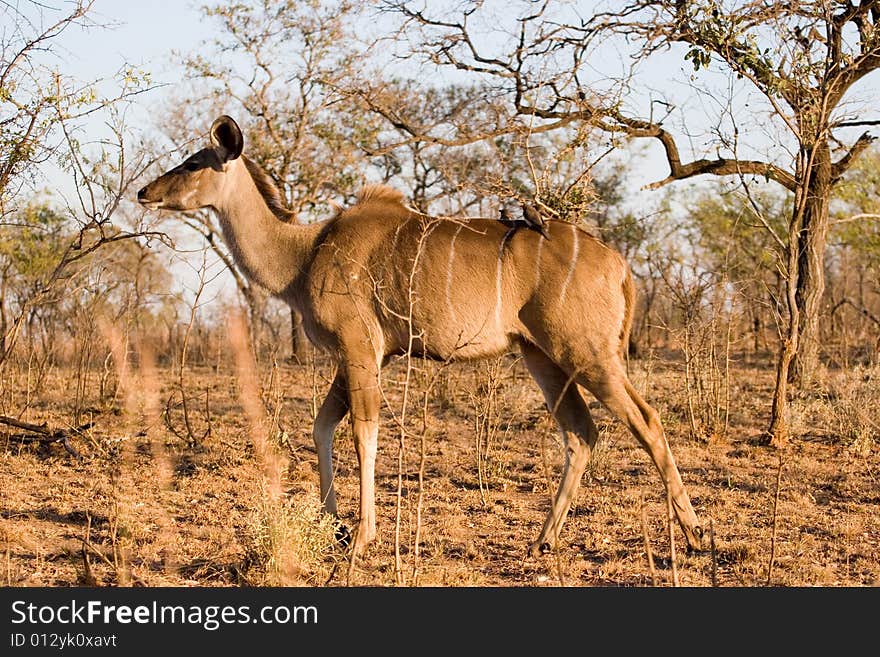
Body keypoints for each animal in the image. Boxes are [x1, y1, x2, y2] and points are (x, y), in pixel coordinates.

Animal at [138, 115, 708, 556]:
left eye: (193, 163)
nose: (144, 192)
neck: (304, 253)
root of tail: (618, 265)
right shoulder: (362, 356)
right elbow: (322, 427)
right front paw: (333, 525)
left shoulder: (359, 347)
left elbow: (362, 433)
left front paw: (361, 537)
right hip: (542, 357)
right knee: (581, 432)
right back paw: (542, 540)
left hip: (586, 353)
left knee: (646, 420)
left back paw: (696, 536)